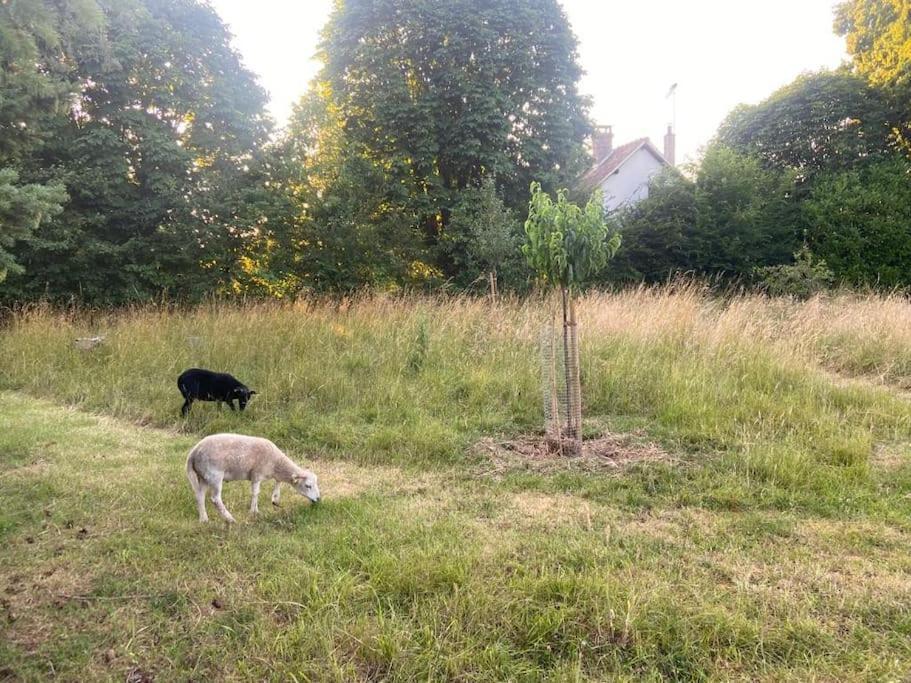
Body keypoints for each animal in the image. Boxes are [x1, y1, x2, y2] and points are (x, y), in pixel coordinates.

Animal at [185, 432, 320, 524]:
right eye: (308, 486)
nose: (318, 499)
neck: (276, 464)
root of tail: (193, 453)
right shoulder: (256, 474)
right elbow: (256, 493)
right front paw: (254, 511)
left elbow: (278, 482)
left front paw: (275, 499)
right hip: (214, 475)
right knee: (215, 499)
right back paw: (230, 519)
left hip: (203, 476)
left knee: (200, 495)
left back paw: (204, 519)